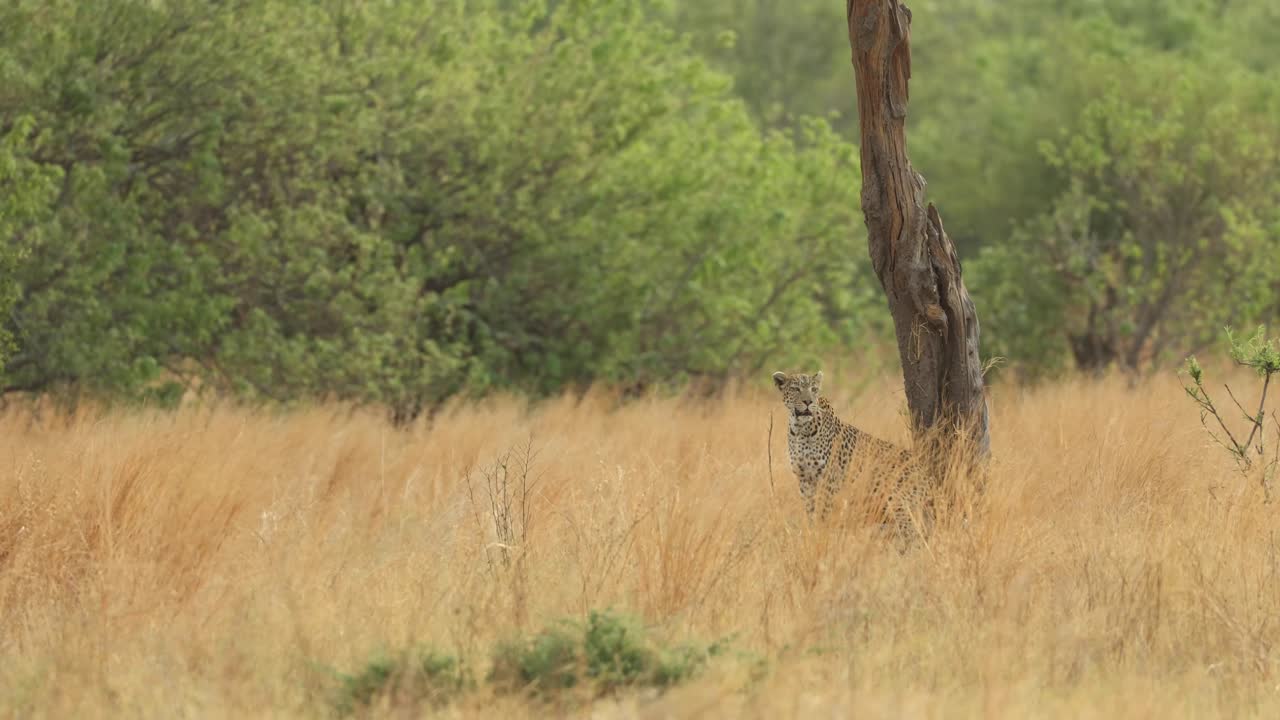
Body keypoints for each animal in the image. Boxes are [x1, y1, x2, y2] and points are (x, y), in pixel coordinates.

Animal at [772, 370, 934, 543]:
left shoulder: (828, 479)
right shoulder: (804, 479)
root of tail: (928, 477)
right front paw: (812, 531)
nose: (808, 401)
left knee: (913, 530)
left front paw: (822, 533)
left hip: (895, 497)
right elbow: (810, 509)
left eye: (814, 389)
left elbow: (823, 511)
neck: (800, 430)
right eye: (796, 389)